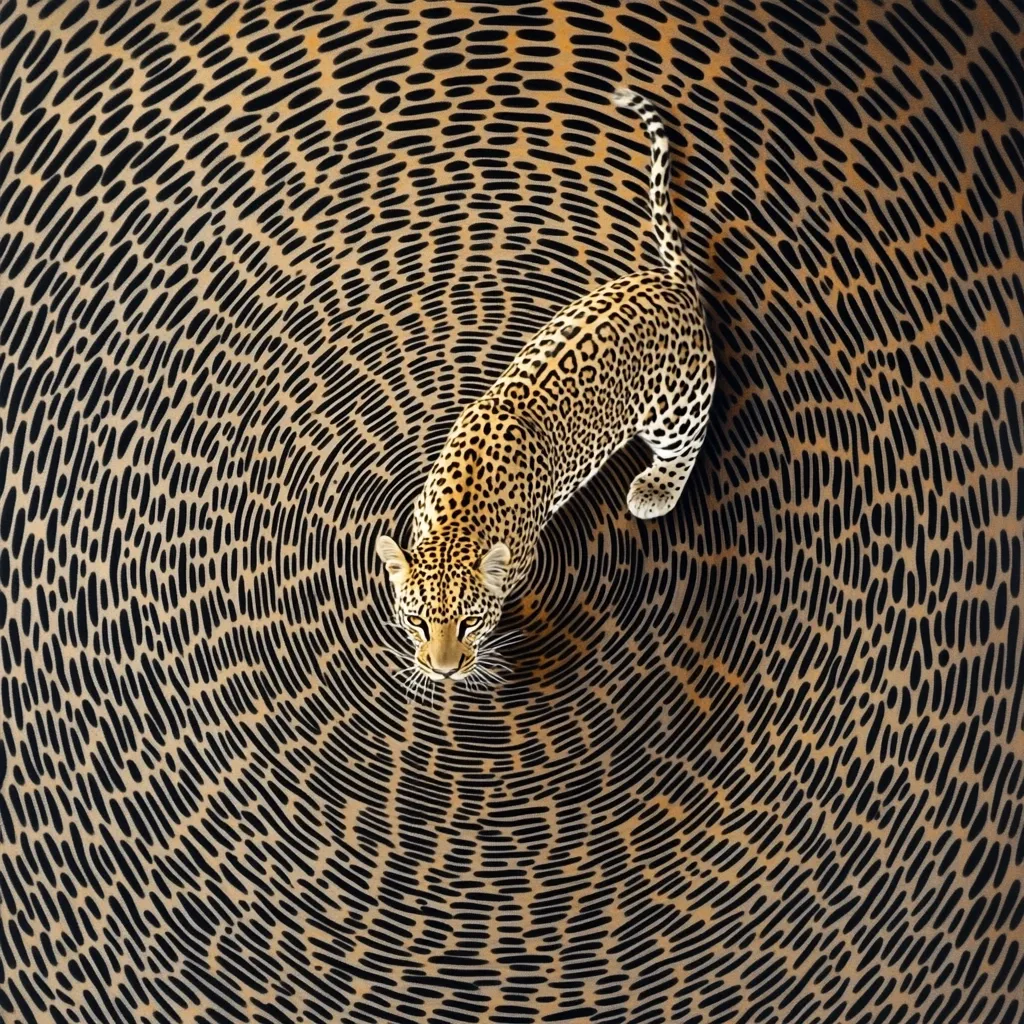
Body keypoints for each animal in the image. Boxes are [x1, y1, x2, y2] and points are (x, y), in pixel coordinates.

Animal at [377, 86, 716, 691]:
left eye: (468, 623)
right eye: (417, 621)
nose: (443, 671)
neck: (459, 518)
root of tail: (672, 283)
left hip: (676, 404)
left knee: (689, 438)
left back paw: (655, 488)